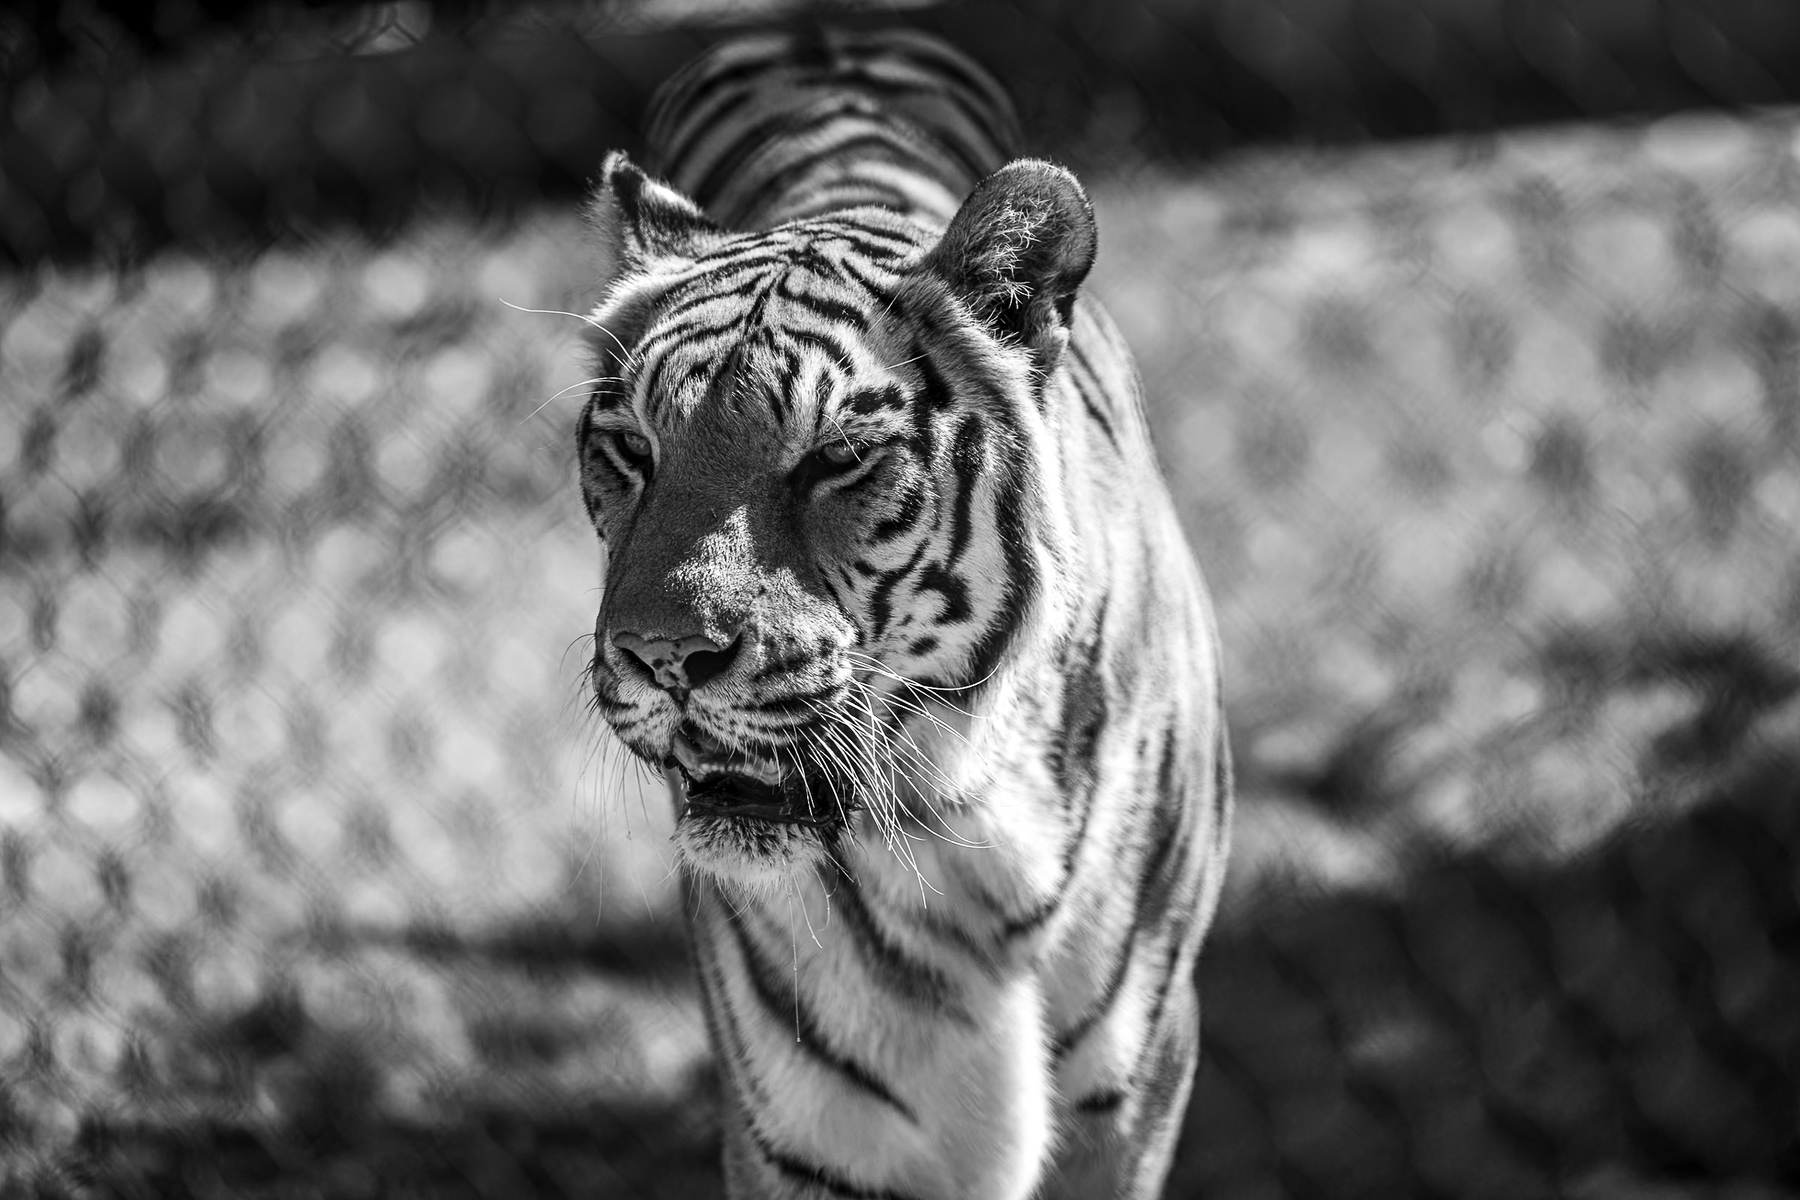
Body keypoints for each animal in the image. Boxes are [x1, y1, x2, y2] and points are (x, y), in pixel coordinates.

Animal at [576, 26, 1231, 1200]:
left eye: (837, 457)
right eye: (631, 449)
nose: (661, 656)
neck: (961, 819)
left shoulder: (1135, 1083)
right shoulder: (805, 1121)